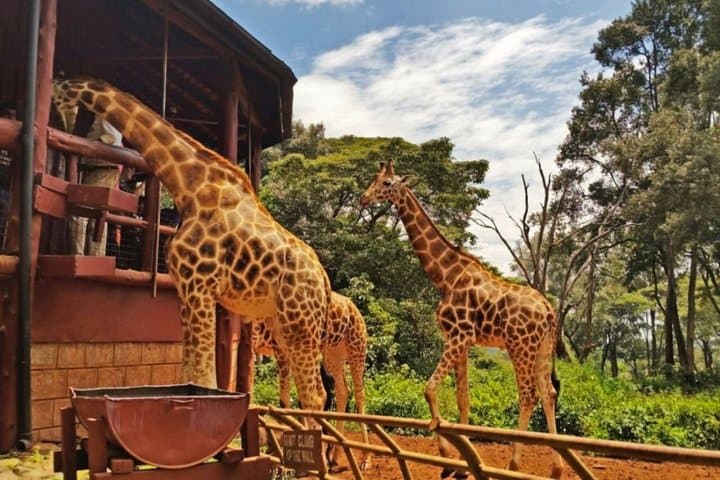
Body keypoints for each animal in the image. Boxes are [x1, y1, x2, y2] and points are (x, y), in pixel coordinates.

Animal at [51, 77, 331, 415]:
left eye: (57, 96)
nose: (64, 126)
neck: (188, 186)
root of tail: (324, 281)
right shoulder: (185, 289)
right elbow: (189, 374)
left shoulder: (200, 287)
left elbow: (205, 377)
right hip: (282, 322)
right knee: (311, 389)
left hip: (299, 322)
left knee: (316, 393)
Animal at [253, 291, 371, 469]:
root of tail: (355, 309)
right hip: (333, 354)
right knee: (342, 391)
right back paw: (335, 456)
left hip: (356, 347)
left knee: (358, 393)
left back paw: (365, 458)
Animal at [360, 161, 563, 479]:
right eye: (375, 179)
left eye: (388, 183)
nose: (363, 198)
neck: (445, 276)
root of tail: (549, 310)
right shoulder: (462, 340)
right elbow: (462, 398)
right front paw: (462, 464)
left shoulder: (458, 336)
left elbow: (430, 388)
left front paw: (447, 458)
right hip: (541, 348)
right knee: (548, 393)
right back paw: (556, 468)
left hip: (519, 345)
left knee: (528, 395)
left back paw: (514, 465)